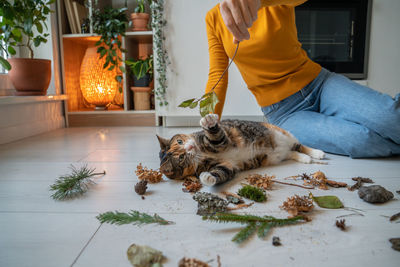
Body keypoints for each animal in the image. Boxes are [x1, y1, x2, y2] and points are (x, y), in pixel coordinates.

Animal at [156, 114, 324, 186]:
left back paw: (317, 153)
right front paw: (208, 177)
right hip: (278, 155)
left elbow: (215, 136)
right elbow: (221, 172)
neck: (201, 154)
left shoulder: (221, 141)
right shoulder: (226, 165)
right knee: (292, 152)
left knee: (299, 145)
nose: (190, 147)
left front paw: (208, 122)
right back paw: (305, 158)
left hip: (284, 135)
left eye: (180, 141)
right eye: (181, 158)